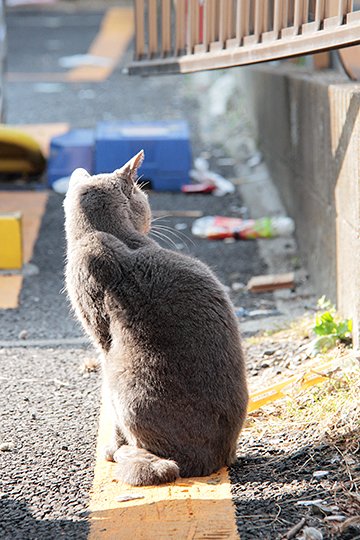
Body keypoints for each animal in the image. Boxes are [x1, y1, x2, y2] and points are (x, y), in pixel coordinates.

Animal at [64, 150, 248, 488]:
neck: (105, 233)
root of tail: (213, 460)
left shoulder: (101, 339)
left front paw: (110, 447)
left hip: (124, 380)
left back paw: (123, 453)